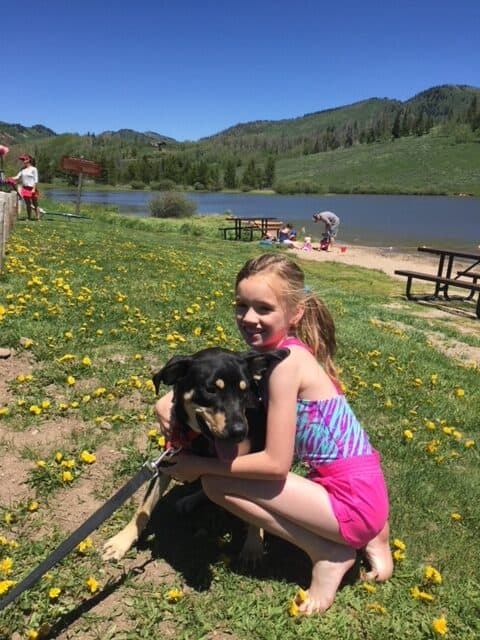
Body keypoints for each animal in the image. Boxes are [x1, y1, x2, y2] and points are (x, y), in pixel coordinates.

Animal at [102, 348, 286, 564]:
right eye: (211, 390)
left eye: (244, 390)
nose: (240, 431)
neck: (197, 437)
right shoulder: (166, 461)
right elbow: (143, 507)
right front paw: (121, 541)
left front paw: (253, 544)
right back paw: (189, 500)